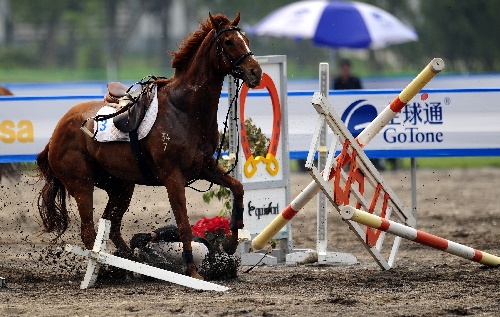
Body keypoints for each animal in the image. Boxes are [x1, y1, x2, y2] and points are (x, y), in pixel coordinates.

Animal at [36, 13, 262, 278]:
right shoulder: (173, 177)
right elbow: (183, 224)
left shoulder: (205, 166)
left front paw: (231, 241)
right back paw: (107, 269)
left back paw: (128, 263)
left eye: (246, 40)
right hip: (82, 185)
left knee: (112, 228)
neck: (183, 109)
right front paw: (192, 270)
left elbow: (237, 189)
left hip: (121, 187)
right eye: (228, 41)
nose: (256, 72)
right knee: (89, 231)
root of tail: (55, 134)